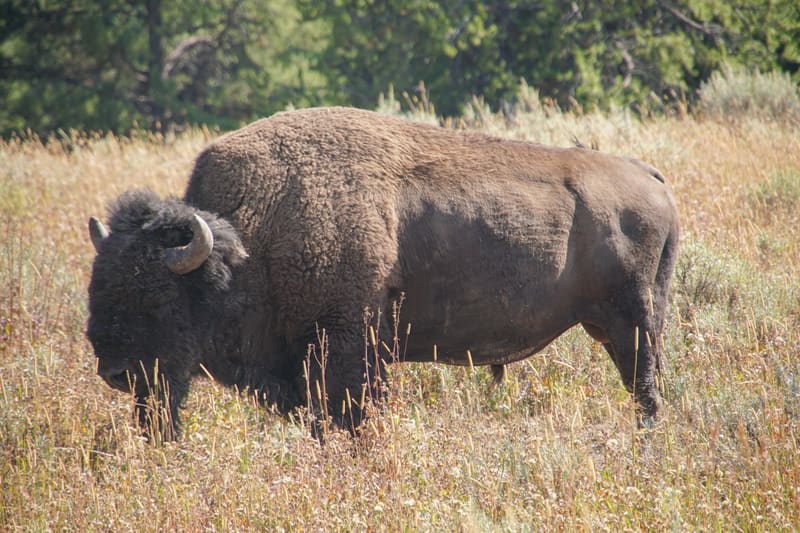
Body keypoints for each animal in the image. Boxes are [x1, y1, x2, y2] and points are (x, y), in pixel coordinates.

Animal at [87, 106, 679, 438]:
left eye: (157, 298)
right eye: (97, 288)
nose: (115, 371)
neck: (251, 241)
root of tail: (648, 175)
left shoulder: (345, 344)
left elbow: (350, 415)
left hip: (631, 320)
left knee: (644, 386)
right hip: (618, 322)